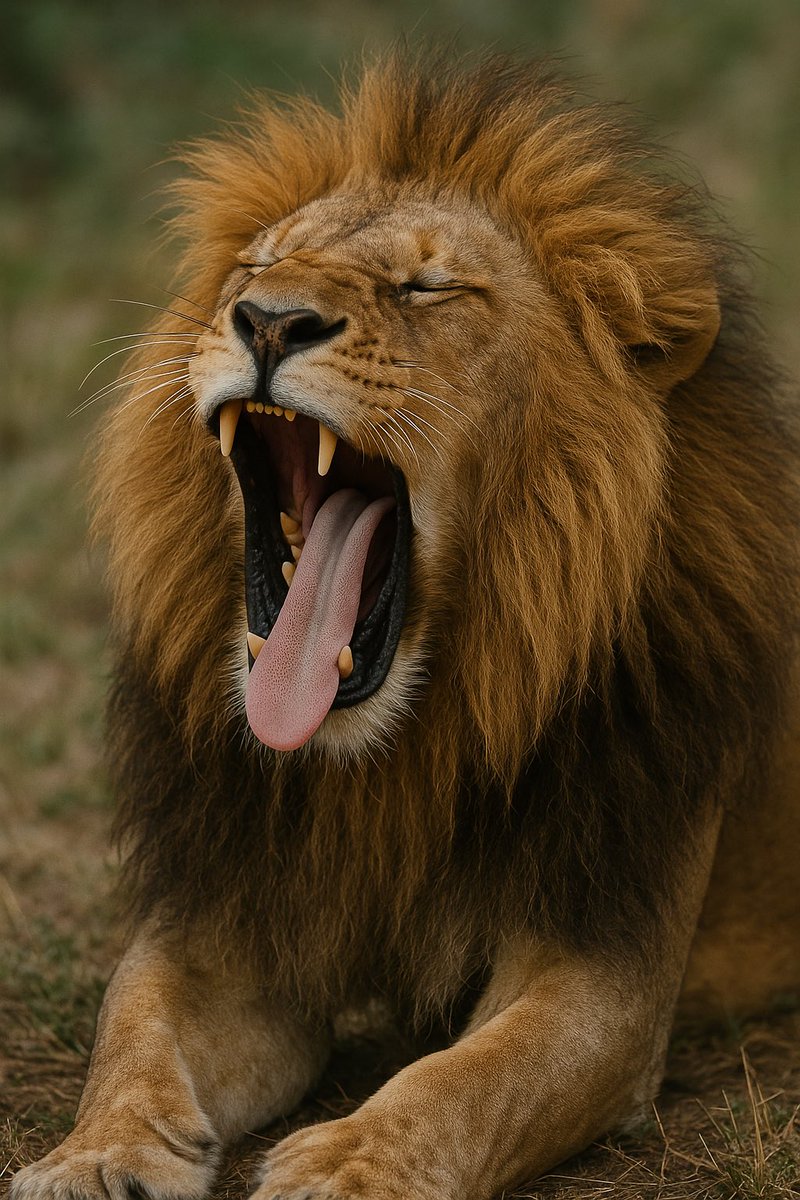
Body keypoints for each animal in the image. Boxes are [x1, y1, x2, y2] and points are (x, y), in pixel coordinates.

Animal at [12, 52, 800, 1200]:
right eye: (256, 266)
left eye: (426, 287)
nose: (267, 321)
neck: (387, 763)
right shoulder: (226, 918)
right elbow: (133, 1023)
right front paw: (97, 1155)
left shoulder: (606, 963)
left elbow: (475, 1076)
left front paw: (352, 1163)